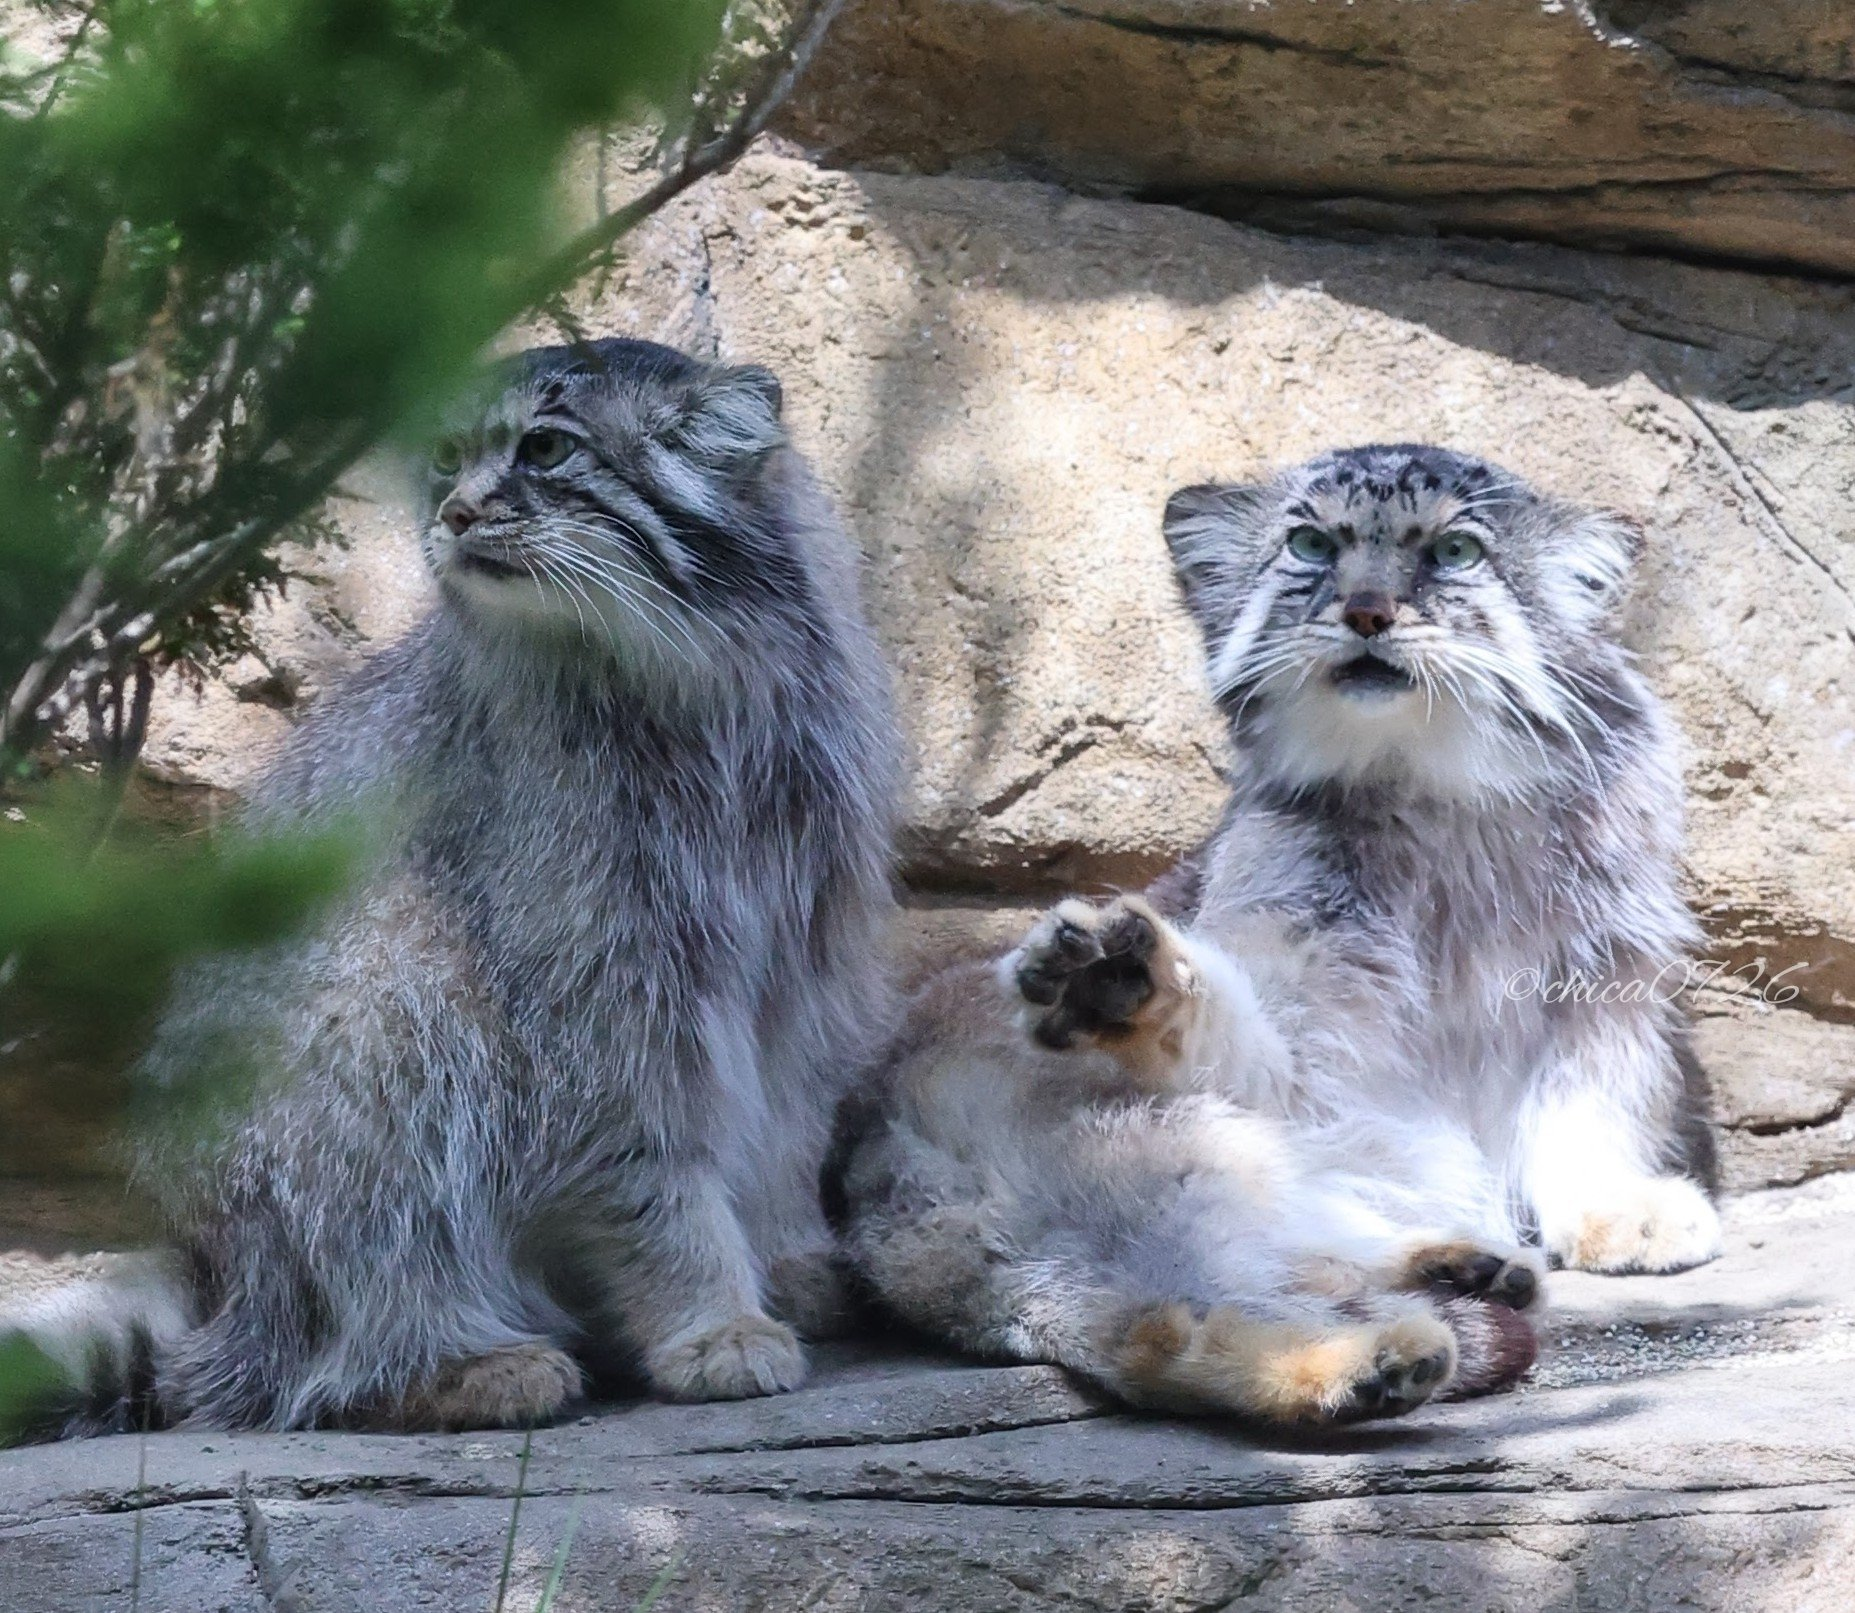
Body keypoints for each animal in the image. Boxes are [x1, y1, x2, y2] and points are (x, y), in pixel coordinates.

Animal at [0, 341, 897, 1438]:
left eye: (544, 448)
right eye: (444, 457)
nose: (457, 513)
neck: (696, 674)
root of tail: (239, 1299)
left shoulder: (803, 947)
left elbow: (786, 1120)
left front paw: (784, 1256)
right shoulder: (598, 985)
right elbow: (651, 1165)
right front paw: (712, 1319)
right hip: (396, 1015)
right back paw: (453, 1361)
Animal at [834, 441, 1714, 1423]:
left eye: (1455, 552)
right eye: (1309, 544)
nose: (1365, 611)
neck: (1444, 788)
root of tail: (877, 1170)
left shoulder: (1598, 974)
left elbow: (1589, 1101)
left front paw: (1616, 1208)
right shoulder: (1314, 1049)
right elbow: (1256, 1042)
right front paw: (1135, 987)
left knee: (1173, 1320)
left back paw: (1445, 1277)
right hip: (1176, 1154)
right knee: (1193, 1309)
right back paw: (1372, 1351)